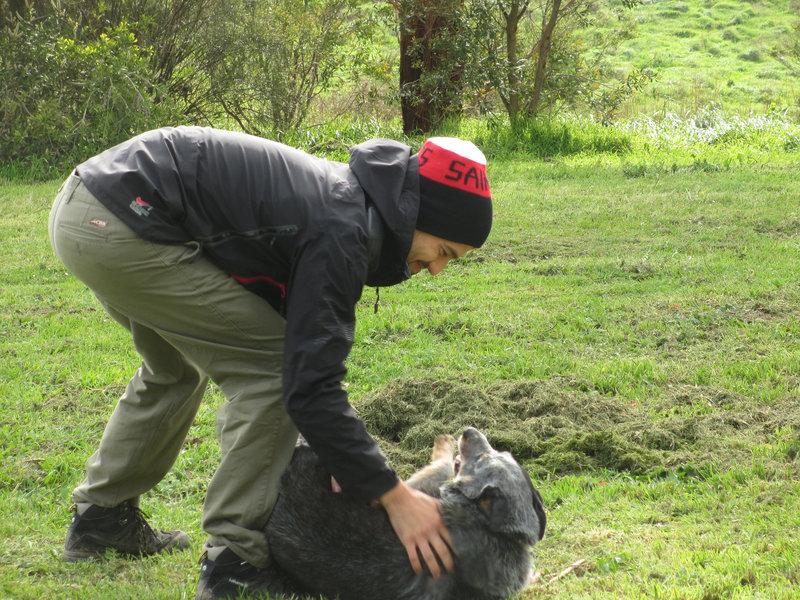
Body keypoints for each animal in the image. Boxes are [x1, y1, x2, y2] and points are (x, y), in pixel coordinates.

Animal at [262, 426, 544, 600]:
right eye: (502, 451)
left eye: (485, 456)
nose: (468, 431)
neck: (501, 534)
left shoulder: (414, 490)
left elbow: (442, 464)